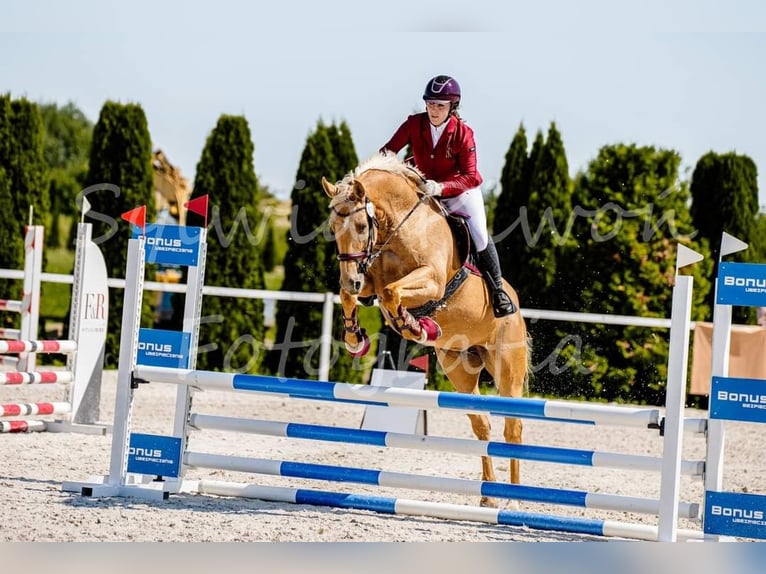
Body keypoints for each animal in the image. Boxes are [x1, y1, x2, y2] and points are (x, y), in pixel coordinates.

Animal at [320, 153, 532, 508]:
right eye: (333, 229)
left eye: (362, 226)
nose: (350, 278)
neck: (397, 226)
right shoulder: (369, 281)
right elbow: (361, 295)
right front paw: (354, 339)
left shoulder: (431, 281)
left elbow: (392, 292)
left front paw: (413, 325)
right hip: (459, 366)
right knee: (482, 424)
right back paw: (489, 497)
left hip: (507, 367)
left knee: (513, 427)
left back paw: (514, 500)